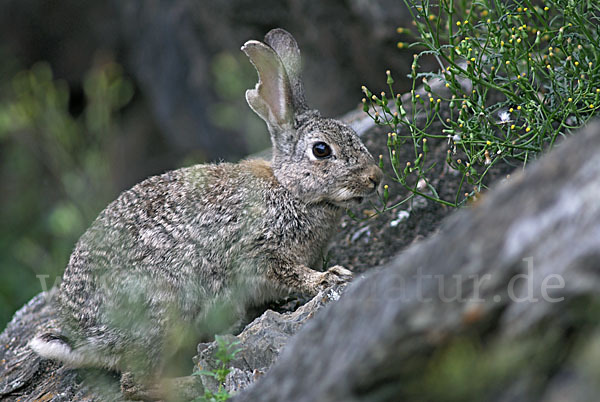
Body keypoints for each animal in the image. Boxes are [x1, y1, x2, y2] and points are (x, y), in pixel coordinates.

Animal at [28, 29, 382, 398]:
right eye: (321, 150)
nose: (375, 177)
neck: (290, 190)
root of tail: (83, 339)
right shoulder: (262, 252)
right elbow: (291, 273)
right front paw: (331, 278)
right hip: (165, 312)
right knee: (134, 383)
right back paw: (193, 383)